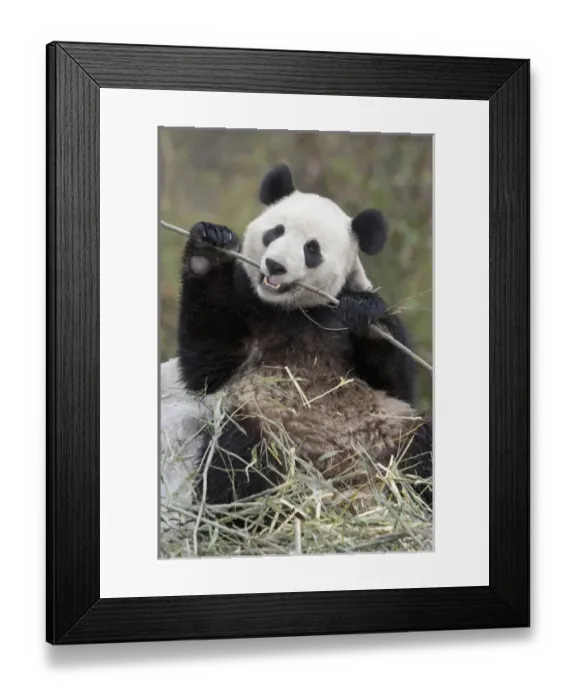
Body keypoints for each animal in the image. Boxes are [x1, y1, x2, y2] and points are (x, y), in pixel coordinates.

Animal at [177, 163, 432, 506]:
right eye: (276, 231)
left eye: (311, 249)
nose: (275, 265)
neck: (295, 311)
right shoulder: (250, 307)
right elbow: (208, 362)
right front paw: (209, 249)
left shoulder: (338, 312)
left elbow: (396, 382)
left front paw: (364, 312)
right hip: (267, 425)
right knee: (236, 461)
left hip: (395, 431)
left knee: (423, 450)